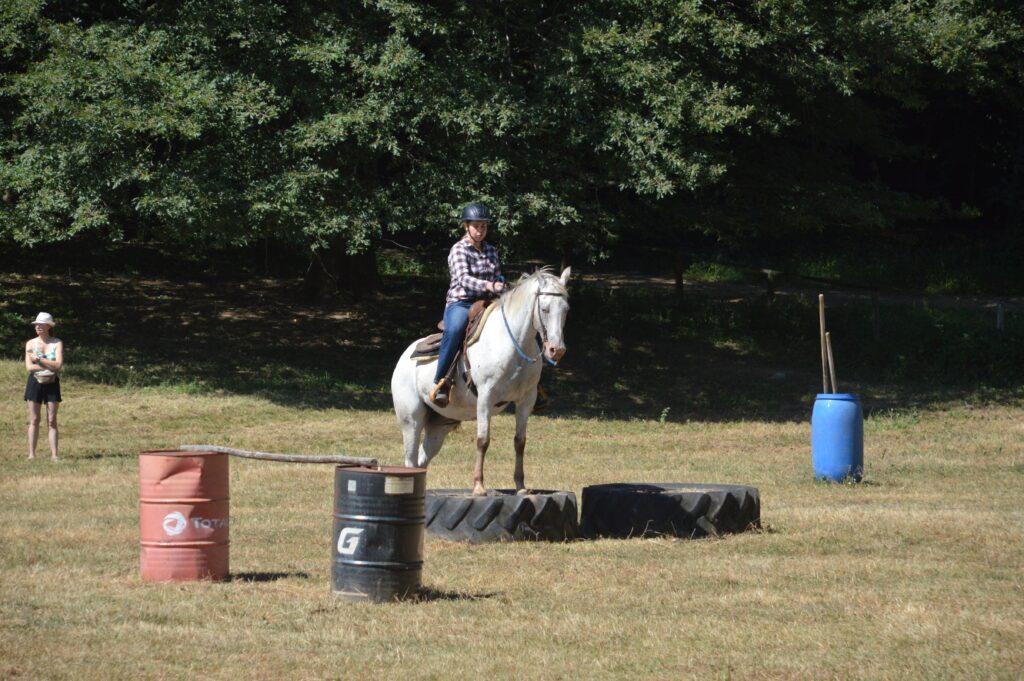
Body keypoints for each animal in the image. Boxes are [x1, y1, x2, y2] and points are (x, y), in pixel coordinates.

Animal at [390, 267, 571, 496]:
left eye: (566, 309)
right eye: (545, 309)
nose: (557, 350)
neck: (513, 344)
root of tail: (403, 358)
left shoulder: (527, 400)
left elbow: (520, 442)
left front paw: (521, 486)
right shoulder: (486, 396)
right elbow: (482, 440)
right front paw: (478, 486)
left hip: (440, 425)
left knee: (422, 459)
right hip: (411, 419)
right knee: (410, 459)